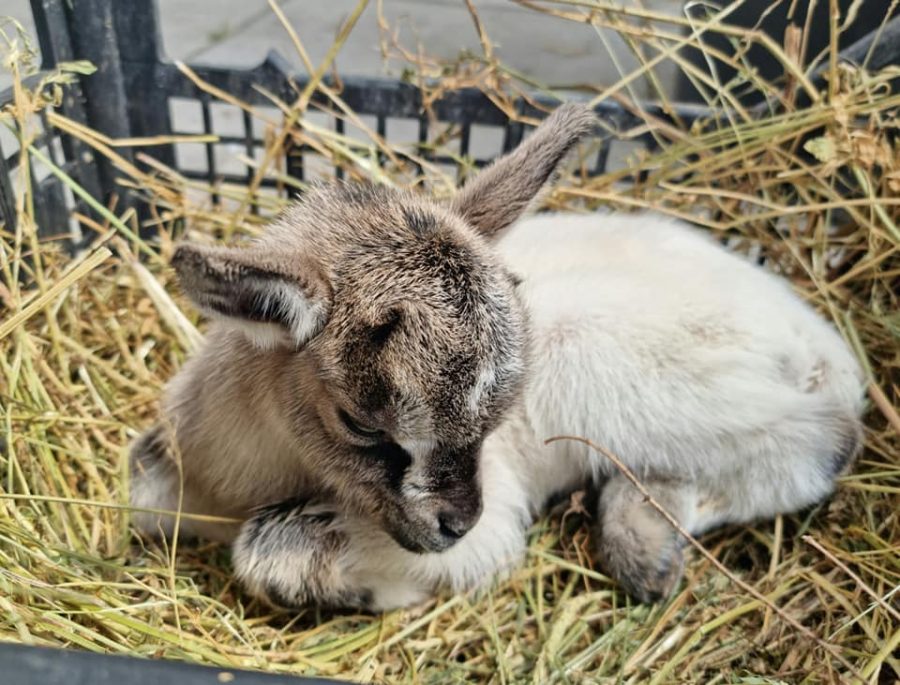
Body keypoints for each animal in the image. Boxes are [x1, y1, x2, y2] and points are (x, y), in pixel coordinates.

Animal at [130, 103, 868, 608]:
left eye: (496, 416)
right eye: (362, 423)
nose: (457, 522)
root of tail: (827, 347)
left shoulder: (489, 526)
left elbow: (263, 553)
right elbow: (139, 483)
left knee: (820, 446)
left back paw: (644, 549)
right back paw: (646, 533)